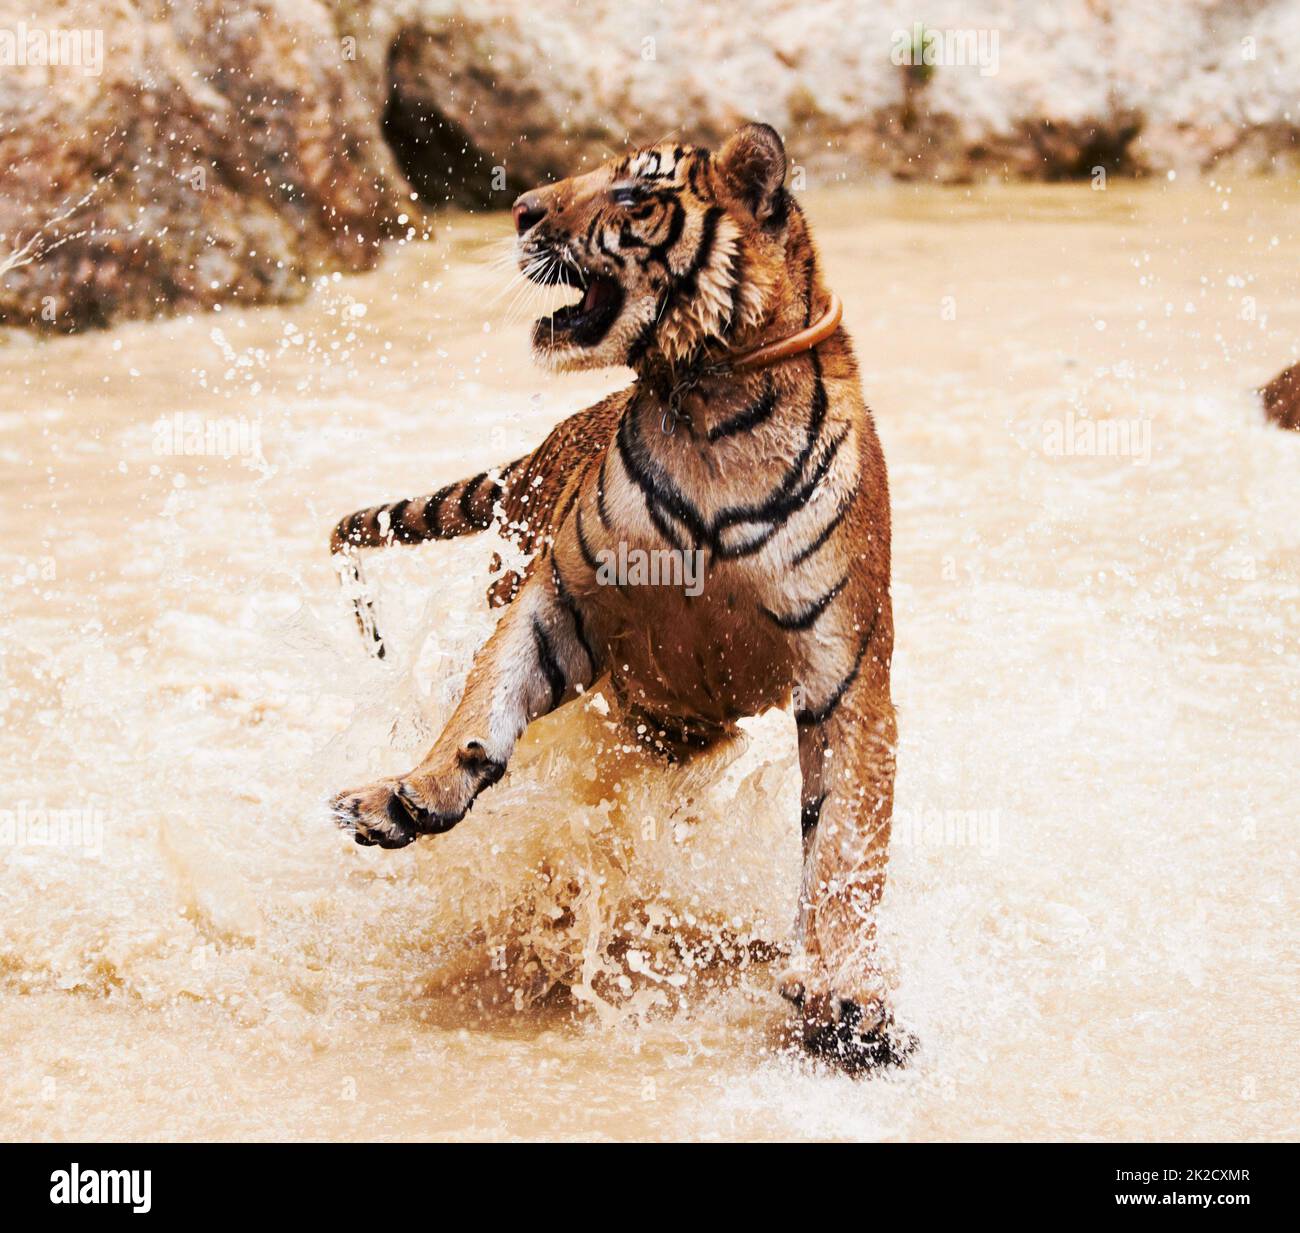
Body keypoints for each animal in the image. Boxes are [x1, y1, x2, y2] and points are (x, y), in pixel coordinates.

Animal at [330, 125, 909, 1071]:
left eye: (634, 194)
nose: (521, 209)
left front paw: (847, 997)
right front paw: (410, 795)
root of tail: (544, 443)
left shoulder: (846, 675)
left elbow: (847, 849)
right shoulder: (558, 599)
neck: (711, 403)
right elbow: (483, 703)